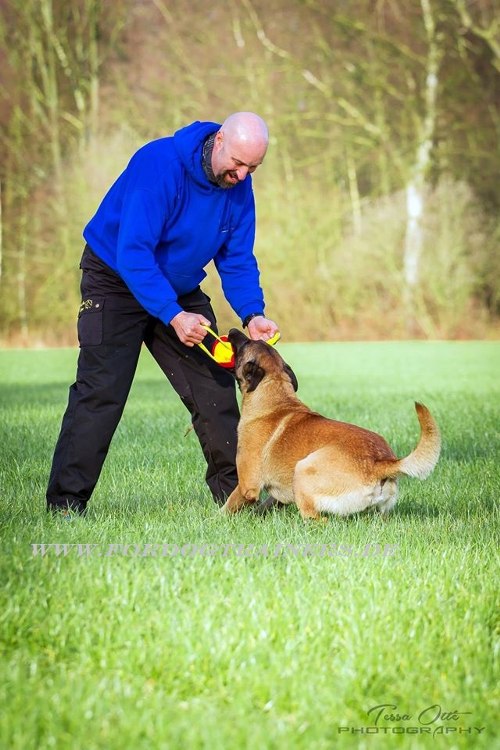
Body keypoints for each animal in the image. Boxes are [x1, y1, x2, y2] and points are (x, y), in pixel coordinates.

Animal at [221, 332, 440, 520]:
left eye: (246, 343)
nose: (232, 331)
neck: (275, 396)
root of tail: (379, 463)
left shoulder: (247, 486)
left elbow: (228, 506)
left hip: (303, 470)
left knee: (316, 519)